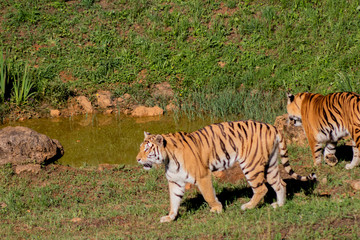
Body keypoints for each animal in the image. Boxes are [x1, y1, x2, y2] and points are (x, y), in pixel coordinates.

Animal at [136, 121, 316, 222]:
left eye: (147, 149)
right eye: (140, 148)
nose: (137, 159)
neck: (168, 158)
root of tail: (272, 126)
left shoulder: (203, 176)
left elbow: (208, 194)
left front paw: (217, 209)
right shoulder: (175, 181)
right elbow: (174, 201)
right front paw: (170, 217)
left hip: (251, 165)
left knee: (262, 188)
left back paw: (248, 206)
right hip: (271, 164)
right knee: (280, 183)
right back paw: (279, 205)